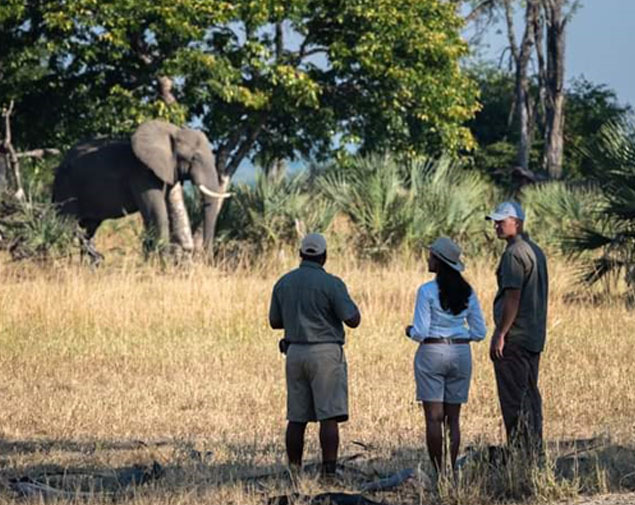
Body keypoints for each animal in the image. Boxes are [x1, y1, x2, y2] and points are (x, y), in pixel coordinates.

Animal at [52, 119, 231, 260]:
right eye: (194, 158)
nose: (203, 256)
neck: (172, 132)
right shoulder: (142, 174)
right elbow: (156, 215)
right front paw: (162, 265)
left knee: (89, 228)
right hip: (66, 187)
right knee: (64, 225)